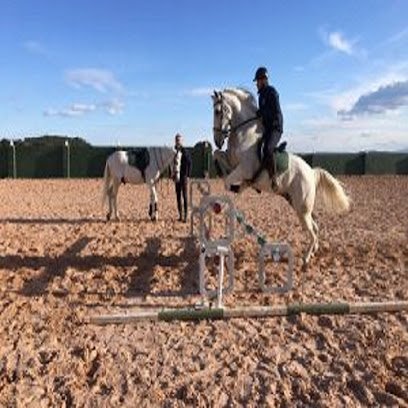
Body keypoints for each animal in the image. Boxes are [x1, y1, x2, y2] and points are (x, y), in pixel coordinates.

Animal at [210, 89, 350, 266]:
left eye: (217, 111)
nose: (217, 140)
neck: (244, 134)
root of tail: (311, 172)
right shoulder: (231, 161)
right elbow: (217, 155)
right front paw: (233, 183)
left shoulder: (244, 169)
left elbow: (228, 182)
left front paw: (234, 190)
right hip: (297, 205)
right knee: (315, 227)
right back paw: (314, 251)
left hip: (302, 209)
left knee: (312, 231)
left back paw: (306, 258)